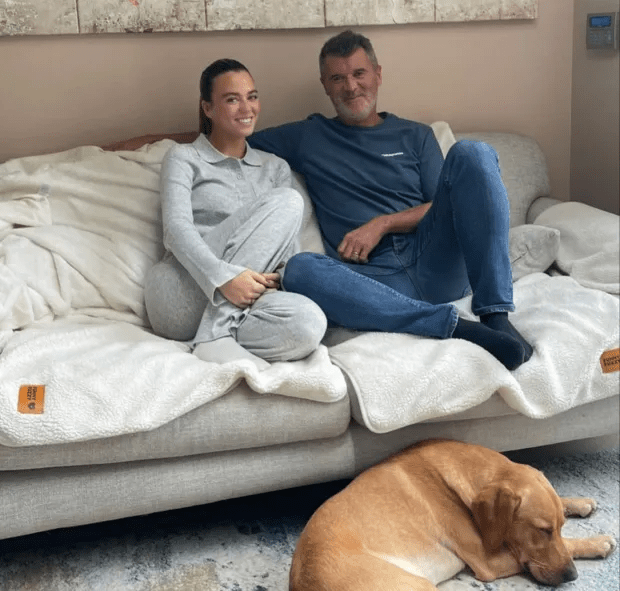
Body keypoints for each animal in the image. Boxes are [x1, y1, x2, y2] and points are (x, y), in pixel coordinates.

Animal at [290, 442, 616, 588]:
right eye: (542, 531)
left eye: (559, 526)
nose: (572, 575)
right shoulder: (489, 562)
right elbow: (567, 545)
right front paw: (597, 542)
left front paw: (577, 502)